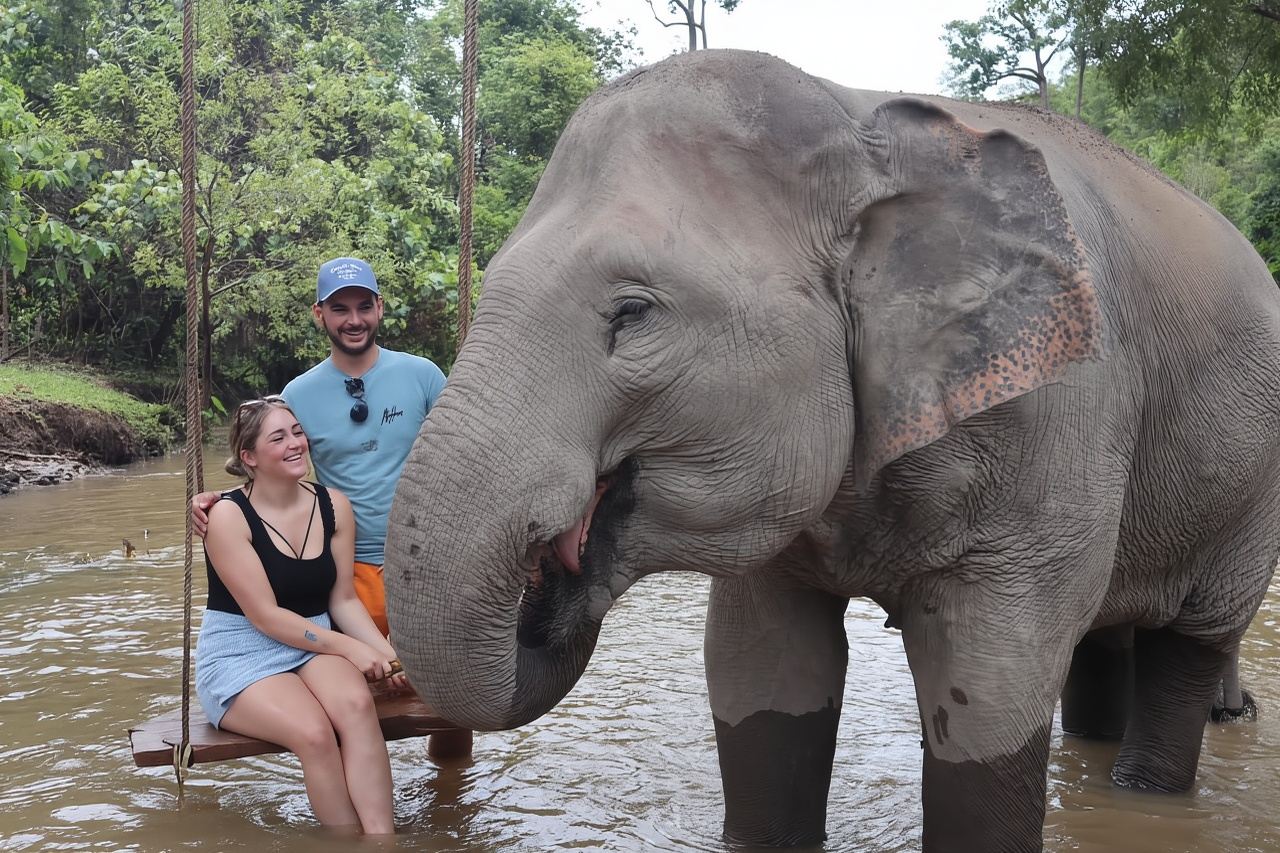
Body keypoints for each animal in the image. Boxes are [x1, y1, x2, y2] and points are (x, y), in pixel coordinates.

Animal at [384, 49, 1280, 852]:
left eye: (632, 314)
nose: (552, 574)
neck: (861, 123)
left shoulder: (1057, 411)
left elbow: (991, 683)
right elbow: (760, 669)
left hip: (1248, 491)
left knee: (1188, 644)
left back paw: (1156, 778)